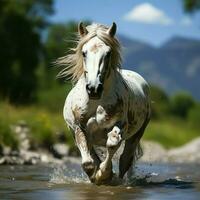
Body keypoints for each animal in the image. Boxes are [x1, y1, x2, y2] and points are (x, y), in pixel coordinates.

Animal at [57, 21, 151, 184]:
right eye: (84, 53)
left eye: (108, 53)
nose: (94, 88)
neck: (96, 103)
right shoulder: (78, 128)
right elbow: (88, 162)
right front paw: (97, 176)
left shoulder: (120, 125)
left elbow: (112, 144)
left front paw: (105, 174)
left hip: (136, 134)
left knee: (125, 160)